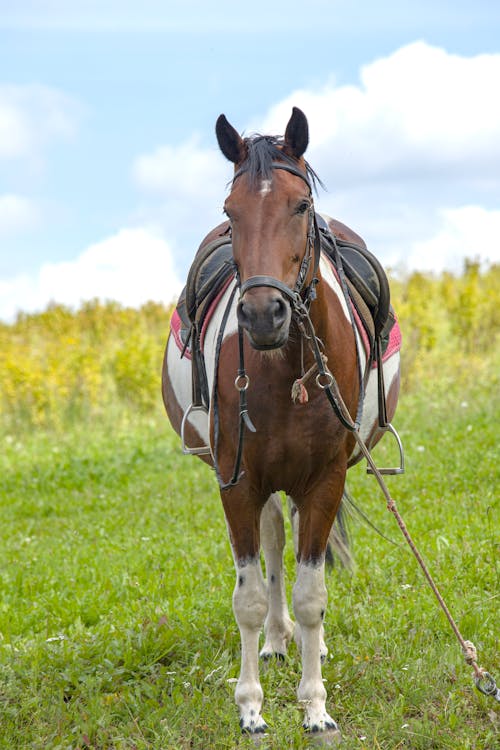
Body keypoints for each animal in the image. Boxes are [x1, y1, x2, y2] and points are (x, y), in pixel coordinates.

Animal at [162, 108, 400, 744]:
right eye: (230, 211)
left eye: (301, 205)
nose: (262, 315)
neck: (286, 362)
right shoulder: (238, 482)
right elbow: (247, 595)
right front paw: (250, 708)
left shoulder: (324, 482)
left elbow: (313, 593)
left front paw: (315, 707)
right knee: (270, 549)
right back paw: (273, 640)